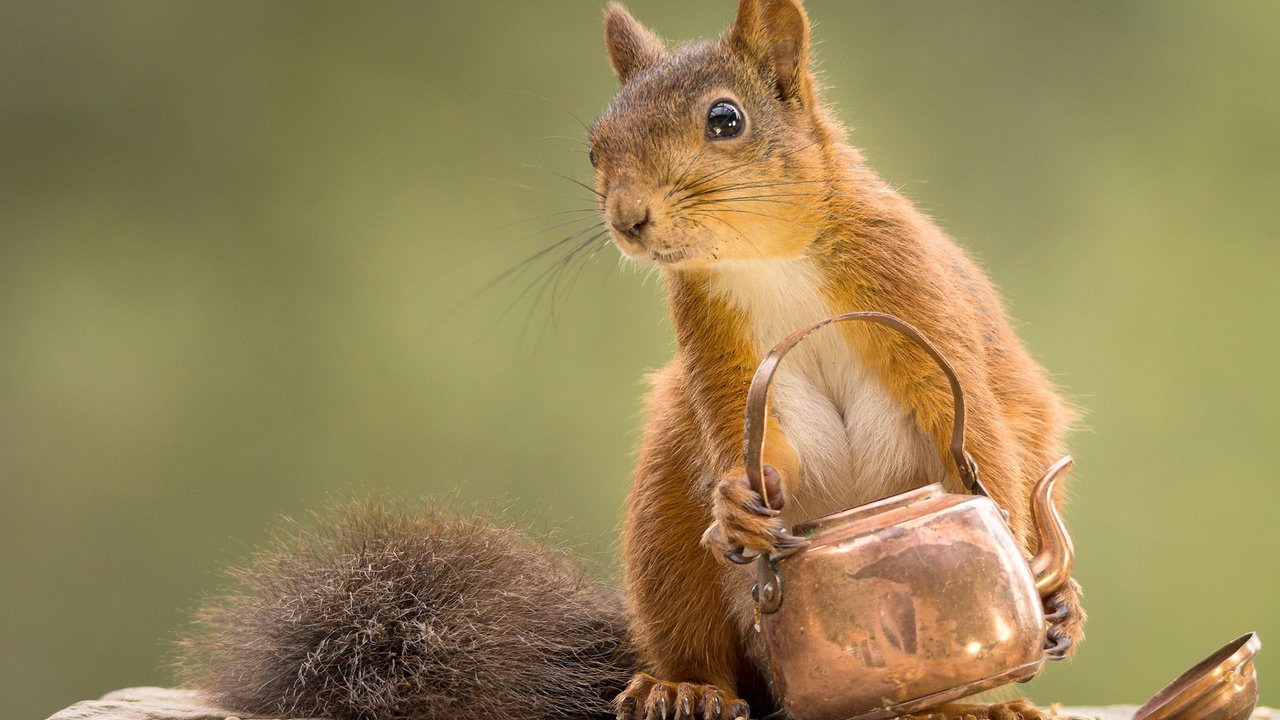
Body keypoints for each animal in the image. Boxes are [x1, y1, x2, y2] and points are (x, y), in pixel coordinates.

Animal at [177, 1, 1080, 717]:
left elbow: (978, 431)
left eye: (726, 120)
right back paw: (684, 688)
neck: (768, 259)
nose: (628, 218)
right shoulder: (714, 346)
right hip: (667, 529)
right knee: (704, 643)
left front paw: (1025, 570)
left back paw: (995, 687)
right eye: (595, 146)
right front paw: (739, 505)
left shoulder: (913, 292)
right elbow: (751, 439)